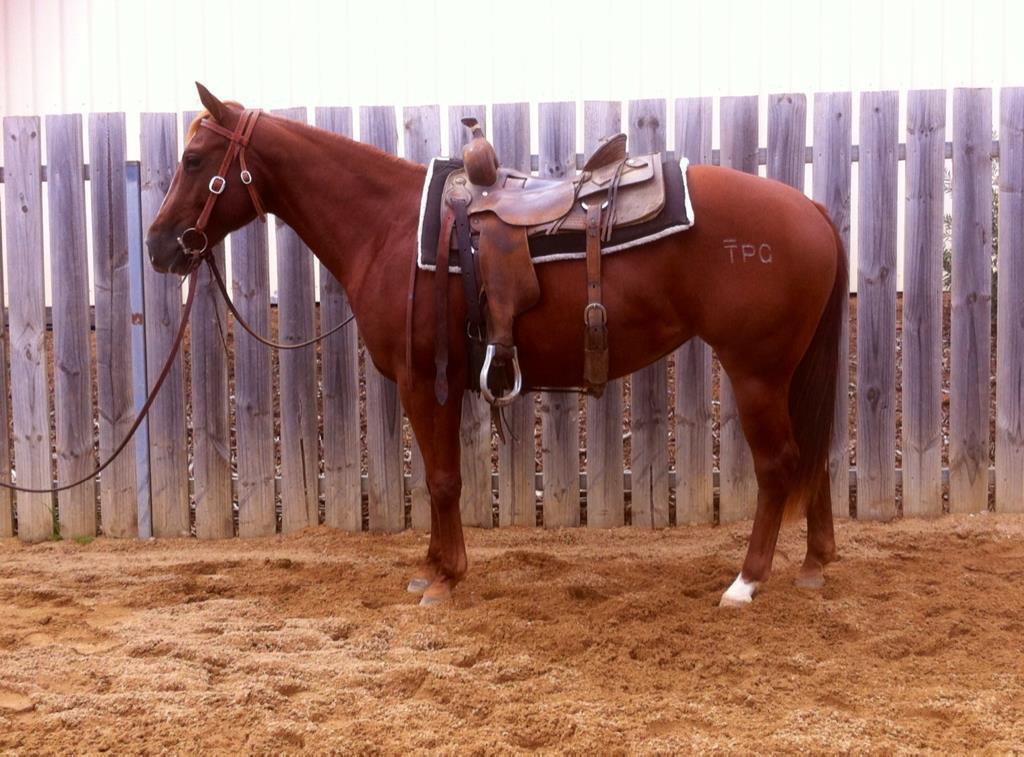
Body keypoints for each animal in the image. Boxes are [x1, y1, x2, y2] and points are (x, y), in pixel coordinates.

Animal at [146, 83, 847, 608]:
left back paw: (746, 581)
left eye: (195, 160)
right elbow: (441, 478)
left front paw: (445, 575)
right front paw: (435, 567)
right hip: (786, 374)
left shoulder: (424, 380)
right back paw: (815, 565)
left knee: (781, 463)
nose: (159, 245)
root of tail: (813, 209)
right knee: (814, 458)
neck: (388, 227)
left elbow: (442, 479)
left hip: (756, 372)